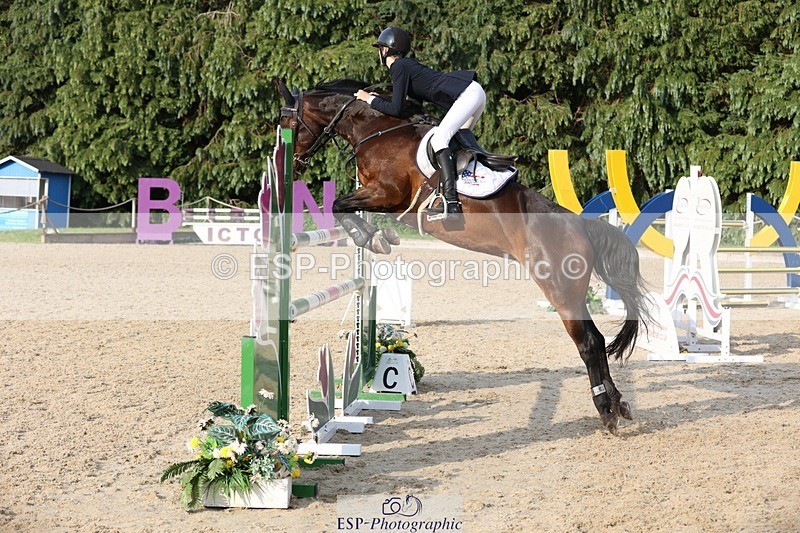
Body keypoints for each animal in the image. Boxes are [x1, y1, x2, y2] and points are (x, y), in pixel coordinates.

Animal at [278, 79, 648, 434]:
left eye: (287, 124)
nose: (291, 166)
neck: (377, 128)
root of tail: (582, 226)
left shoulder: (386, 194)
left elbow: (338, 204)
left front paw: (373, 238)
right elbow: (342, 206)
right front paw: (377, 237)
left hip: (559, 290)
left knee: (588, 343)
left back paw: (606, 410)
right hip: (571, 292)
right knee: (596, 339)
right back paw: (619, 404)